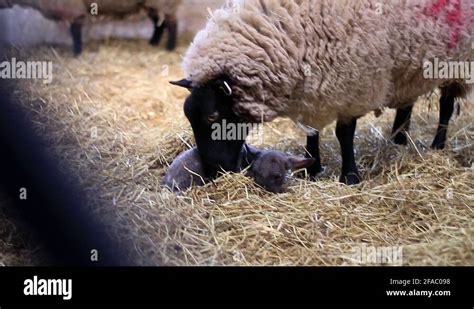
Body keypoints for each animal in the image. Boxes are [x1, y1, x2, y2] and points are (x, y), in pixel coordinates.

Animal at [172, 0, 472, 184]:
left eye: (212, 116)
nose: (214, 171)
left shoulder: (353, 84)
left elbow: (344, 133)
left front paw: (350, 177)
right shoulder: (313, 89)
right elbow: (312, 131)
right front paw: (312, 167)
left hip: (457, 61)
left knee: (446, 104)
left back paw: (437, 145)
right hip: (409, 63)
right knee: (407, 101)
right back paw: (398, 138)